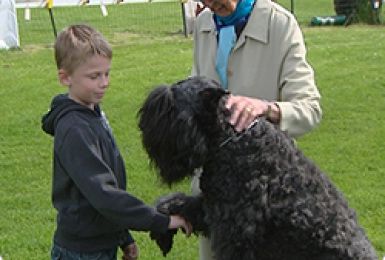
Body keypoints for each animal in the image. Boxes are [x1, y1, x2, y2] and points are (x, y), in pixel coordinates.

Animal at [137, 76, 376, 258]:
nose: (142, 126)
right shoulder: (212, 209)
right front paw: (163, 233)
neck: (235, 139)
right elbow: (171, 201)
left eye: (169, 106)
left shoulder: (233, 234)